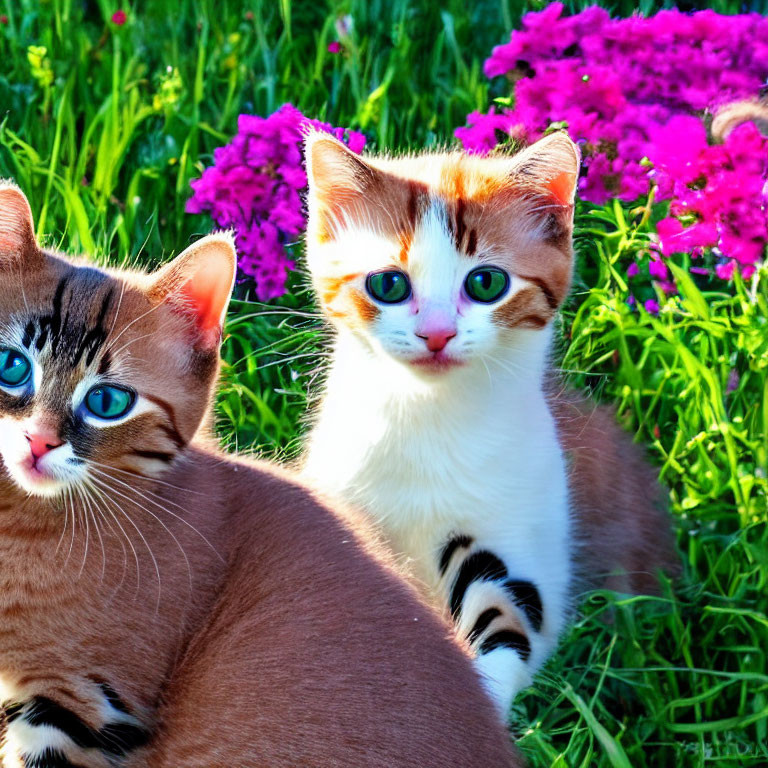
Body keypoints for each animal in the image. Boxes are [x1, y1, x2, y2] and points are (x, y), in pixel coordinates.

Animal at [304, 130, 676, 712]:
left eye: (485, 283)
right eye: (388, 285)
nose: (436, 334)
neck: (429, 417)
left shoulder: (522, 534)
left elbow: (508, 621)